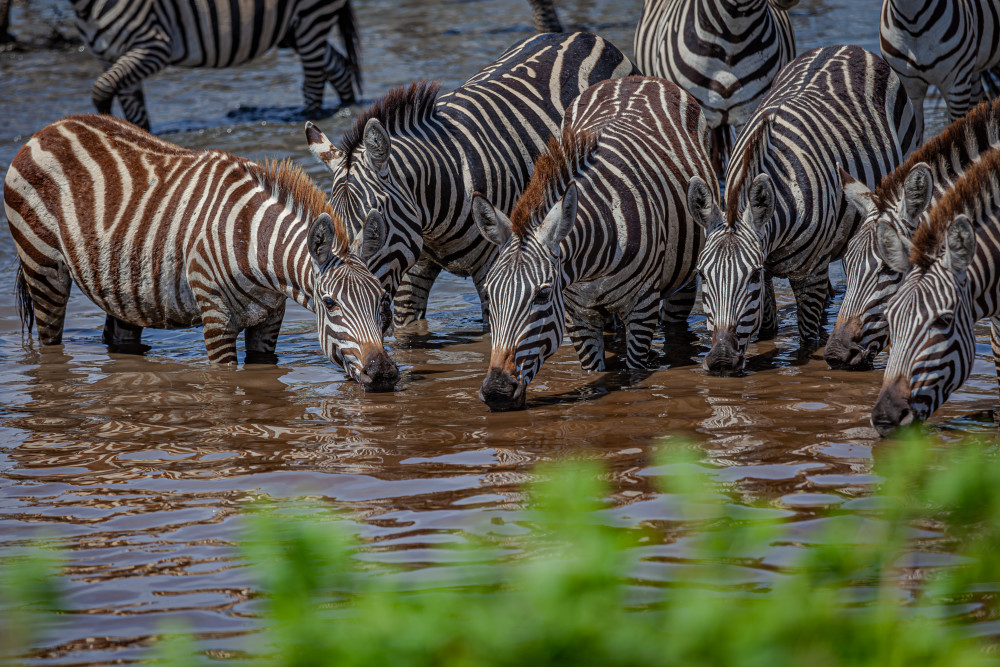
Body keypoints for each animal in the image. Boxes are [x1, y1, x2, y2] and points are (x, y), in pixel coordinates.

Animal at [3, 114, 397, 390]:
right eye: (330, 303)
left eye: (381, 298)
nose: (383, 373)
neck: (252, 243)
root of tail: (48, 129)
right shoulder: (215, 317)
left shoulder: (270, 318)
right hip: (42, 267)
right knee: (49, 339)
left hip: (123, 283)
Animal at [72, 0, 360, 131]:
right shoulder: (110, 56)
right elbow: (135, 111)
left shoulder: (153, 44)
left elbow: (102, 89)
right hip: (294, 29)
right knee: (338, 66)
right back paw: (349, 111)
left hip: (312, 15)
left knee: (313, 81)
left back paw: (309, 116)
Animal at [472, 76, 715, 411]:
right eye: (489, 292)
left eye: (542, 295)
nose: (496, 391)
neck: (590, 266)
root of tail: (635, 79)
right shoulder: (578, 317)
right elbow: (593, 372)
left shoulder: (642, 307)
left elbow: (634, 370)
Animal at [690, 45, 918, 376]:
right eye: (702, 275)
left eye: (752, 276)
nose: (720, 360)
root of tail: (844, 47)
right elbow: (767, 328)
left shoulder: (809, 275)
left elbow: (808, 338)